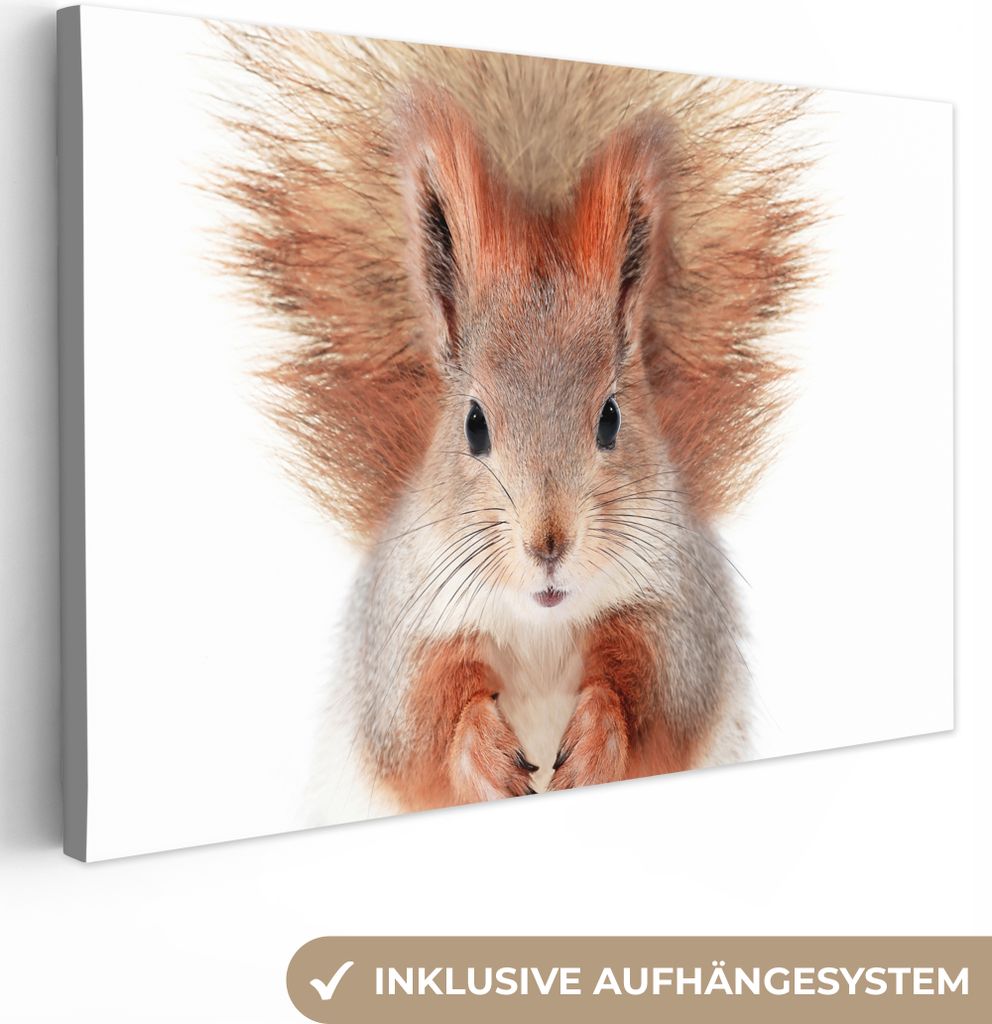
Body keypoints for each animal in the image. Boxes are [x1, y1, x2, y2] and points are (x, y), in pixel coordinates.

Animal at [209, 24, 816, 808]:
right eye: (473, 424)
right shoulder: (403, 633)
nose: (548, 541)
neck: (539, 624)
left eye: (611, 417)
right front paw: (482, 750)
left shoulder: (680, 612)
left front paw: (596, 738)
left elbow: (657, 689)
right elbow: (420, 719)